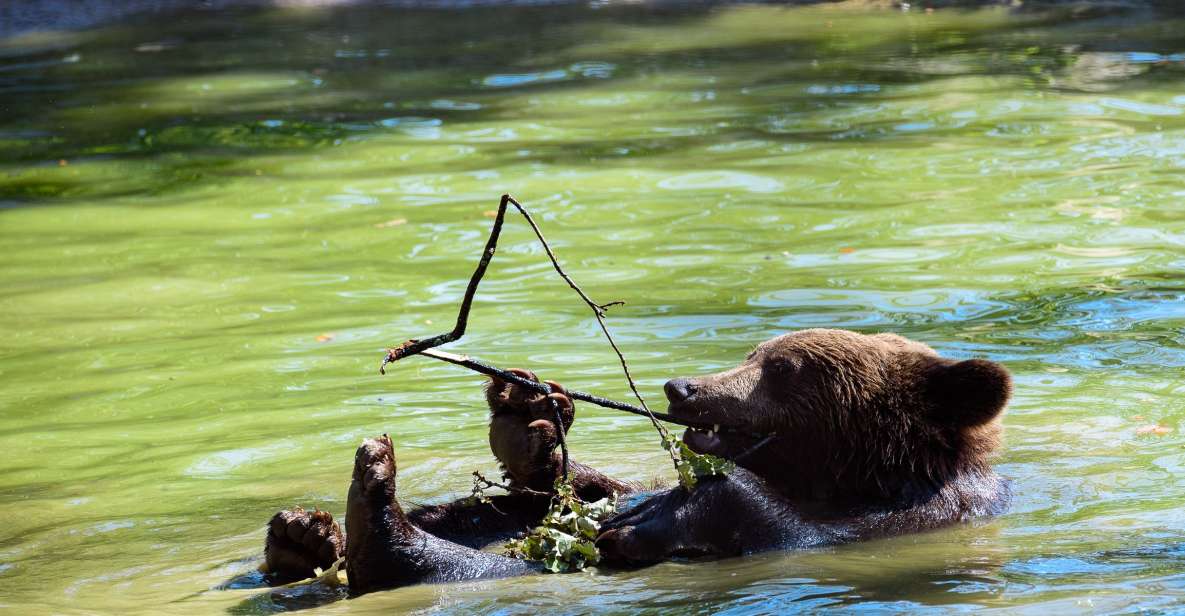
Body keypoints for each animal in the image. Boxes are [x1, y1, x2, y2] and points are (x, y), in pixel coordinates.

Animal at [261, 328, 1012, 593]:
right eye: (754, 353)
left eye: (783, 368)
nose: (682, 387)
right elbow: (580, 491)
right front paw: (524, 413)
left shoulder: (897, 519)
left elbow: (765, 519)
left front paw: (646, 524)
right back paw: (306, 535)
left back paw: (368, 507)